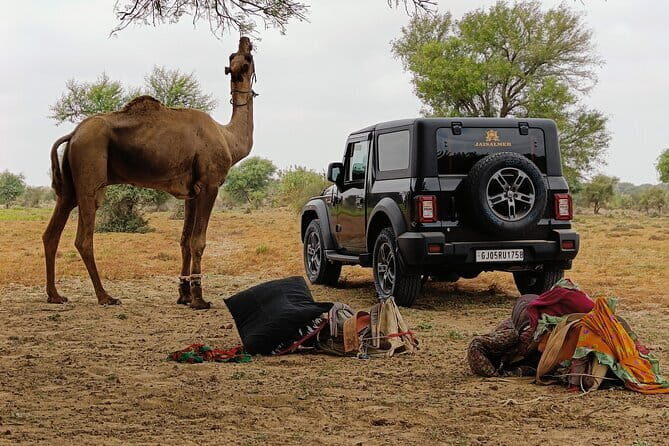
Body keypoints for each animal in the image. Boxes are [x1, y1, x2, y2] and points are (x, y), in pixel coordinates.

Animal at [43, 37, 256, 310]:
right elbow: (198, 241)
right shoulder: (210, 184)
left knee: (51, 233)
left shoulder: (191, 192)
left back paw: (55, 295)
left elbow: (185, 240)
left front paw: (184, 295)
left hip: (70, 186)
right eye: (242, 58)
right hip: (90, 176)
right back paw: (105, 296)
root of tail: (73, 134)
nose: (245, 40)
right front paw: (199, 299)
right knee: (84, 239)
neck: (228, 138)